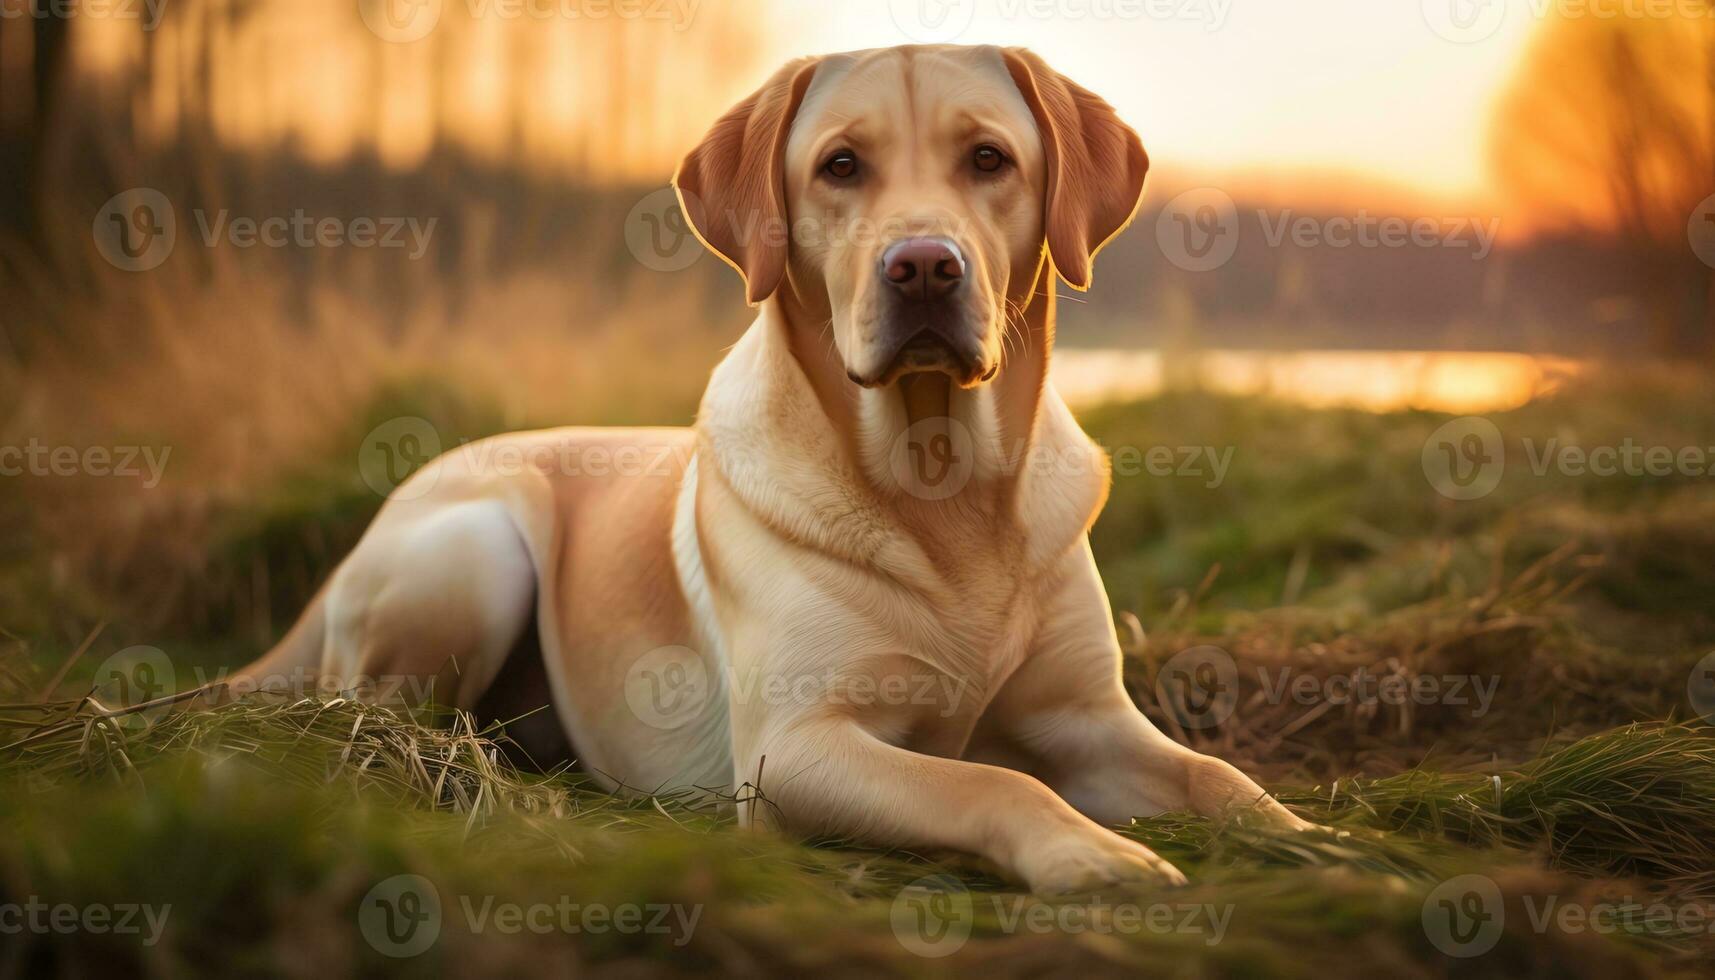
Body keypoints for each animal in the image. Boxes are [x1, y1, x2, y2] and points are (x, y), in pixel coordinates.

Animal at [234, 45, 1303, 892]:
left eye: (988, 158)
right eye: (840, 166)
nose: (923, 265)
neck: (939, 481)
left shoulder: (1087, 715)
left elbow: (1218, 777)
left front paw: (1313, 843)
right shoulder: (793, 750)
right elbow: (987, 777)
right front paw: (1091, 854)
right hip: (475, 549)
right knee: (361, 711)